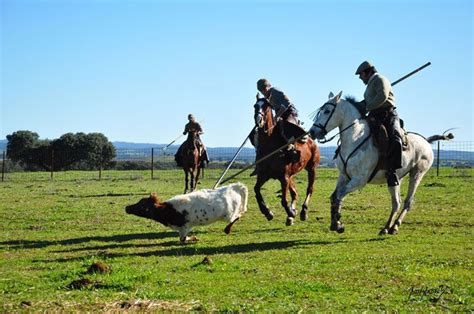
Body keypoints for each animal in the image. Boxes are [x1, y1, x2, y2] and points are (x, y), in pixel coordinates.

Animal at [252, 96, 322, 226]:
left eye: (266, 106)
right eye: (255, 106)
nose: (259, 120)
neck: (270, 147)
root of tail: (311, 141)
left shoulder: (283, 177)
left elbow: (284, 200)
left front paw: (291, 212)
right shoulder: (263, 175)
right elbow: (256, 190)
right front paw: (267, 212)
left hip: (312, 168)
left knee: (309, 189)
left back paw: (303, 212)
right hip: (291, 175)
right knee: (295, 193)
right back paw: (291, 215)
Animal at [310, 92, 454, 234]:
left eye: (327, 111)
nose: (312, 132)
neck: (355, 139)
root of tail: (426, 140)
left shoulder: (359, 180)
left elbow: (339, 196)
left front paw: (338, 223)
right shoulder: (344, 176)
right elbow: (334, 197)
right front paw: (336, 223)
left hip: (417, 174)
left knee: (408, 202)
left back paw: (395, 226)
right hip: (395, 179)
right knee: (396, 203)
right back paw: (386, 228)